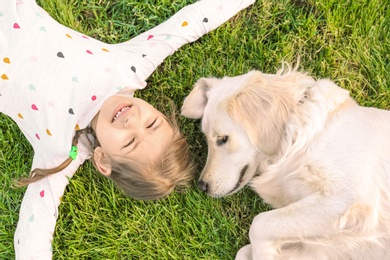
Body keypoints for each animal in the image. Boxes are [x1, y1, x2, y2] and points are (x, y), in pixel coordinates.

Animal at [181, 66, 390, 258]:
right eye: (206, 138)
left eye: (222, 139)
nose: (202, 186)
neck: (296, 141)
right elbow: (243, 250)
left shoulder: (346, 199)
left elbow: (259, 224)